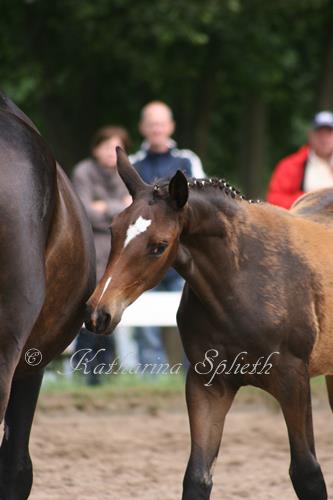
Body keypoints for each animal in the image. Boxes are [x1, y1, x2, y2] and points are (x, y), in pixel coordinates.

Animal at [86, 146, 332, 498]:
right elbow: (197, 477)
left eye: (159, 246)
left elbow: (307, 473)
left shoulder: (293, 380)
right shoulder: (208, 384)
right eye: (112, 231)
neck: (242, 281)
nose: (98, 313)